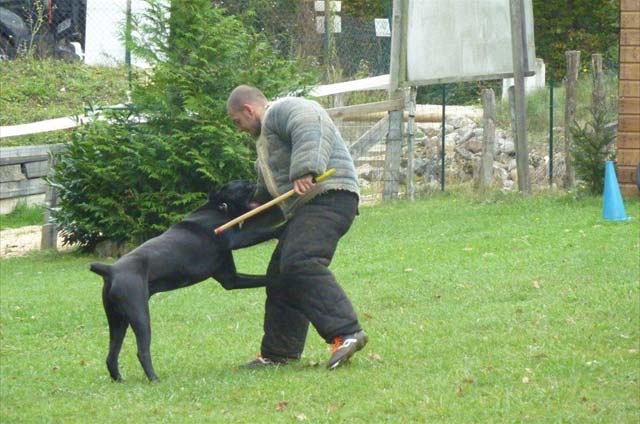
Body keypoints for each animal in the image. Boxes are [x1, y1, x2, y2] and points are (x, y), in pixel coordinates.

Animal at [90, 181, 280, 382]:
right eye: (243, 183)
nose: (256, 181)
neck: (218, 208)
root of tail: (110, 270)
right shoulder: (237, 239)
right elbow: (266, 232)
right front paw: (283, 226)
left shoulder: (231, 280)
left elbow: (264, 279)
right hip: (139, 316)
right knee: (142, 351)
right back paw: (155, 379)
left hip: (117, 321)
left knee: (111, 355)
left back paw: (119, 379)